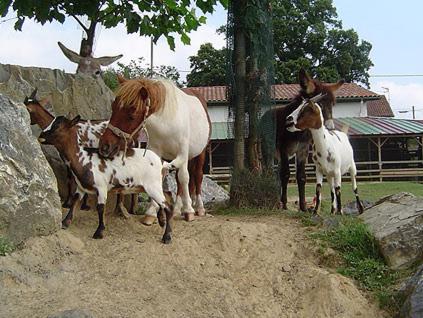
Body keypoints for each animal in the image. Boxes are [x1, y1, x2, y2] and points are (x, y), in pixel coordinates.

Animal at [38, 117, 174, 243]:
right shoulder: (81, 187)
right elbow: (75, 202)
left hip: (152, 186)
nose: (40, 136)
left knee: (167, 206)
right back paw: (162, 221)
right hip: (155, 186)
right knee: (165, 199)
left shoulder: (101, 187)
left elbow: (100, 208)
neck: (83, 158)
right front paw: (65, 223)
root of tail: (163, 162)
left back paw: (167, 237)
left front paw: (99, 232)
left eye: (57, 126)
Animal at [99, 76, 212, 221]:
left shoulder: (183, 153)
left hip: (201, 152)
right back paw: (176, 209)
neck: (167, 122)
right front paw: (151, 212)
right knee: (179, 181)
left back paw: (199, 208)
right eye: (113, 108)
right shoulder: (157, 152)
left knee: (197, 175)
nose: (105, 145)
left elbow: (184, 177)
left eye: (132, 113)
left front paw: (188, 211)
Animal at [262, 69, 344, 211]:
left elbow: (301, 177)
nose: (330, 128)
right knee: (269, 171)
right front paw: (284, 204)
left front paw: (303, 207)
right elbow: (286, 174)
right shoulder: (284, 149)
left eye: (332, 105)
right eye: (318, 104)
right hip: (268, 150)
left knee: (277, 173)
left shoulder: (302, 150)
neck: (300, 131)